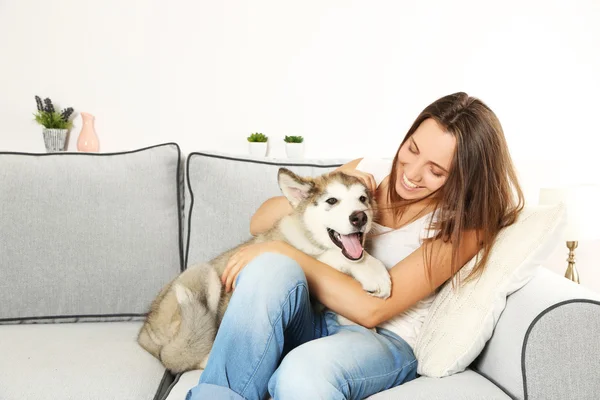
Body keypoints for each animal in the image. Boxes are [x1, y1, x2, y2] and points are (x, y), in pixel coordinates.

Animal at [136, 167, 392, 374]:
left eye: (362, 199)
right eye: (331, 201)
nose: (360, 217)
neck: (310, 239)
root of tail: (145, 334)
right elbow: (334, 258)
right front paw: (375, 273)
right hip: (202, 274)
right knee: (187, 357)